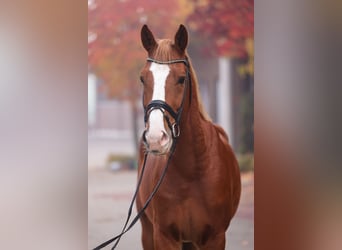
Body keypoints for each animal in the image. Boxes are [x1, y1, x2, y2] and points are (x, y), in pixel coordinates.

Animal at [136, 24, 240, 250]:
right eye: (142, 78)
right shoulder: (164, 237)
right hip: (148, 232)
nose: (156, 138)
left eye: (181, 79)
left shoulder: (215, 238)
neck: (192, 170)